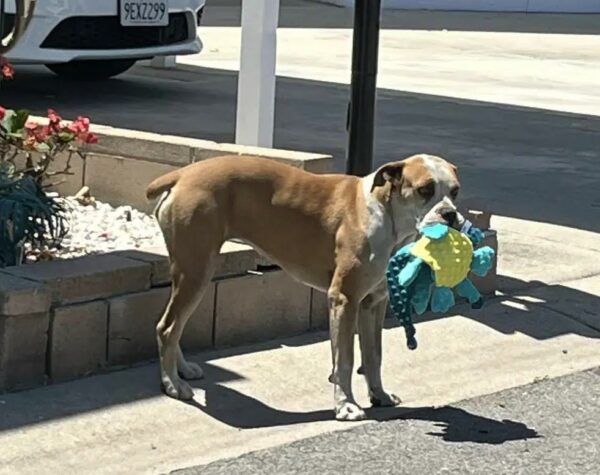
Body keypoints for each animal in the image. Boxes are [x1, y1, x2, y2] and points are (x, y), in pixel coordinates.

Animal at [146, 152, 464, 420]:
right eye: (425, 189)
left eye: (455, 191)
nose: (450, 214)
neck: (386, 215)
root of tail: (183, 174)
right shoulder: (344, 299)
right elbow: (344, 359)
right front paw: (346, 405)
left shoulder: (372, 304)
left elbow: (374, 355)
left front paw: (379, 395)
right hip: (195, 271)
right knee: (167, 327)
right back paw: (172, 384)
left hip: (193, 273)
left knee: (173, 325)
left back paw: (182, 370)